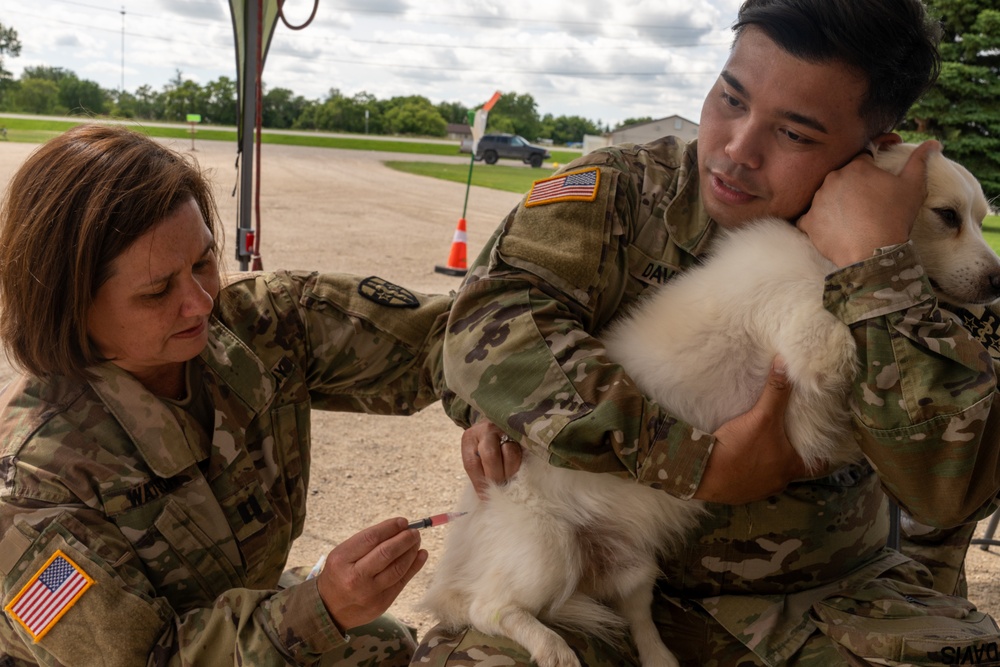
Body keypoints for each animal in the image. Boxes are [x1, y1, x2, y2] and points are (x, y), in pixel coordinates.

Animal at [424, 146, 1000, 667]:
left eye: (981, 220)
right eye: (947, 216)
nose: (997, 280)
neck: (825, 250)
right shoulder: (815, 345)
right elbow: (846, 330)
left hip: (634, 564)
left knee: (634, 614)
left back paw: (659, 657)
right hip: (550, 551)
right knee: (490, 609)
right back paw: (553, 649)